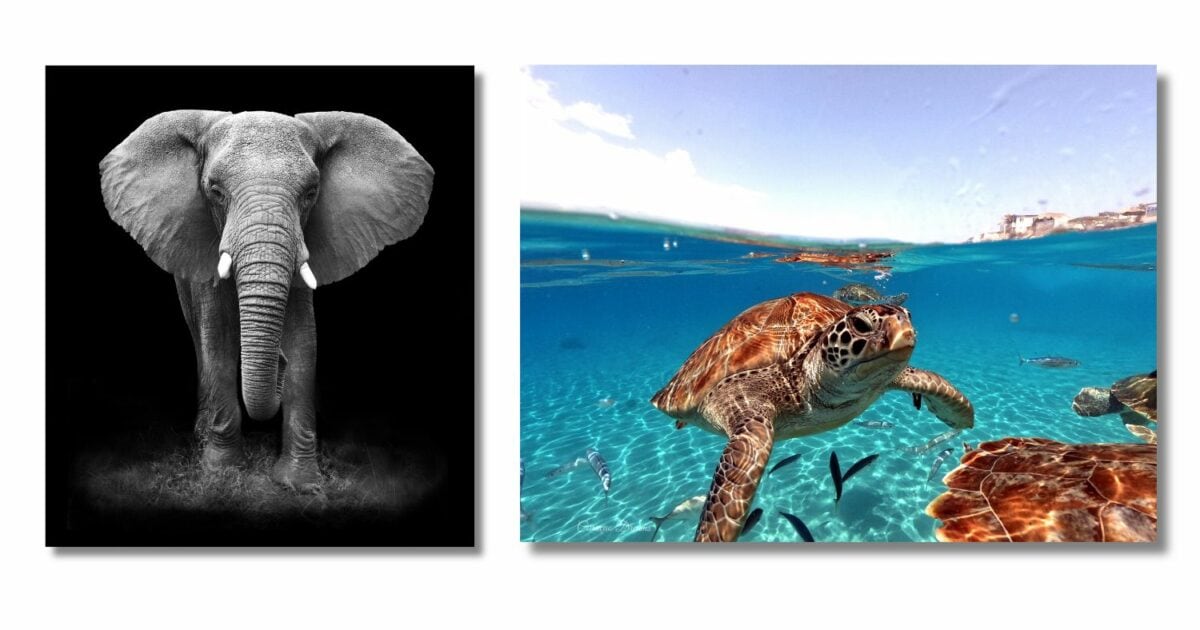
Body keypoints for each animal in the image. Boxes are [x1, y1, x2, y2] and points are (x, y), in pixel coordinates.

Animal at [100, 110, 434, 489]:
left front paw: (301, 484)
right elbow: (218, 340)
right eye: (215, 191)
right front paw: (222, 473)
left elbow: (304, 342)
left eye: (311, 193)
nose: (279, 362)